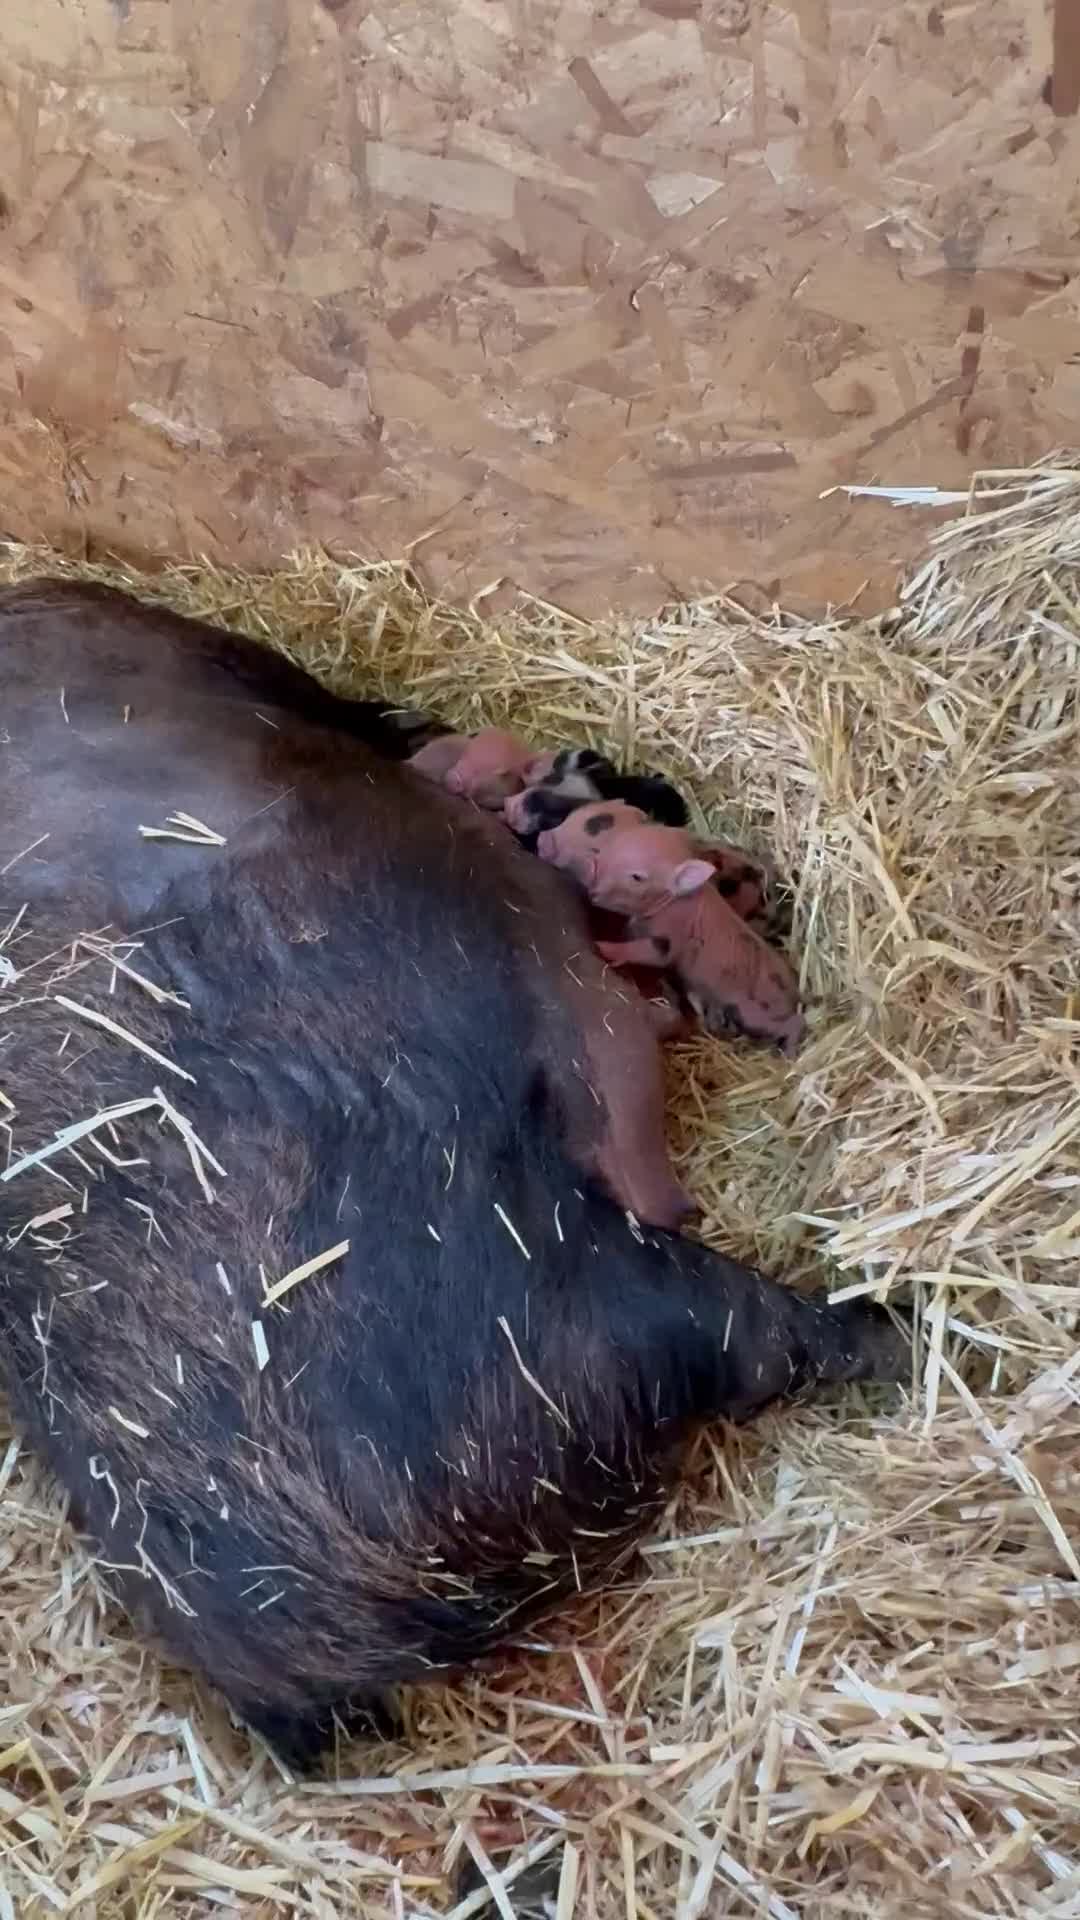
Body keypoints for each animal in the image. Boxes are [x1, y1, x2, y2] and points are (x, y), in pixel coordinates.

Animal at [537, 804, 804, 1053]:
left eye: (595, 849)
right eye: (575, 815)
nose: (543, 839)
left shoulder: (668, 940)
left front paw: (601, 947)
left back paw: (789, 1053)